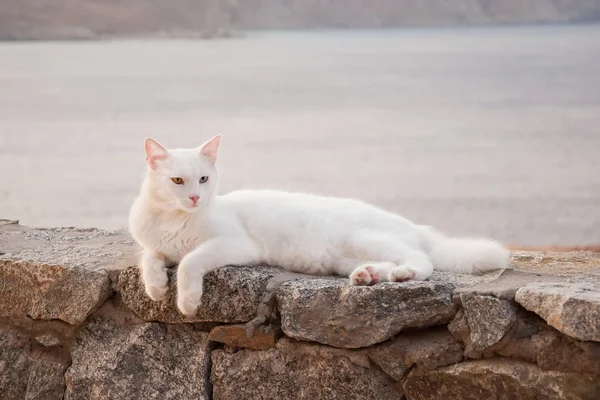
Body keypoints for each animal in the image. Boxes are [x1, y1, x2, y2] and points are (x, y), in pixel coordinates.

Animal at [129, 136, 508, 318]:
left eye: (204, 179)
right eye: (178, 181)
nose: (195, 197)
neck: (173, 219)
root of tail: (415, 225)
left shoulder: (235, 245)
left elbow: (189, 261)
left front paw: (186, 300)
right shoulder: (155, 244)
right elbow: (149, 257)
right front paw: (156, 287)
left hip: (368, 236)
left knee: (421, 261)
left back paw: (402, 275)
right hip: (345, 257)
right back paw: (368, 276)